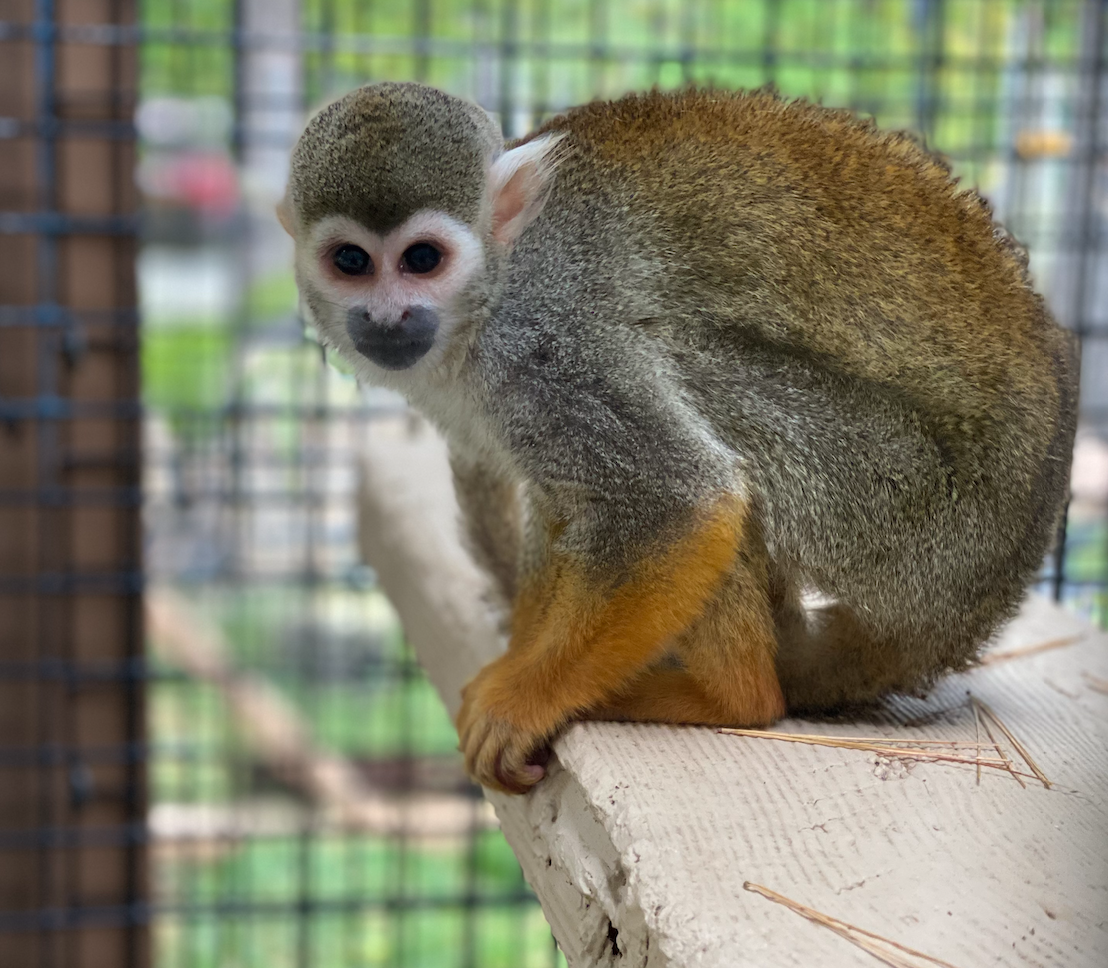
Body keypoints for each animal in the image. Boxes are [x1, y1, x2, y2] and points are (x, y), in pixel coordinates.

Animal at [280, 82, 1078, 795]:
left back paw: (731, 696)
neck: (489, 293)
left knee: (692, 387)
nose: (388, 319)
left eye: (423, 259)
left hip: (908, 512)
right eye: (351, 262)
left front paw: (521, 699)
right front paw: (520, 661)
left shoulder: (546, 343)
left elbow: (681, 500)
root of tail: (971, 613)